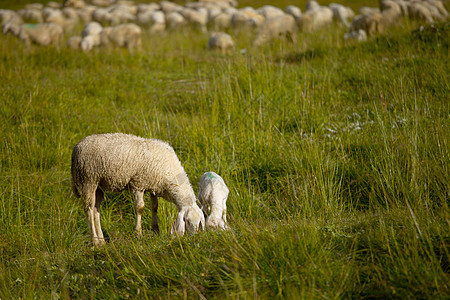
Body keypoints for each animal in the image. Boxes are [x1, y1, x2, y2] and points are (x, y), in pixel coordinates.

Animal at [71, 134, 206, 246]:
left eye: (200, 222)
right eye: (187, 221)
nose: (195, 238)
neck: (169, 172)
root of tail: (77, 147)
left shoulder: (153, 185)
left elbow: (155, 206)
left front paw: (156, 231)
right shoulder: (139, 184)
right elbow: (140, 208)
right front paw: (138, 234)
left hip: (98, 185)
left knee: (95, 210)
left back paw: (101, 241)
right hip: (87, 180)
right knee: (88, 209)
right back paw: (94, 241)